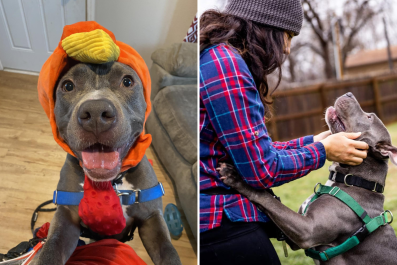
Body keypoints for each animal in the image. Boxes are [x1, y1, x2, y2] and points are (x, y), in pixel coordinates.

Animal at [31, 60, 182, 262]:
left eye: (127, 81)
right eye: (68, 86)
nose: (95, 112)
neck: (112, 182)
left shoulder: (151, 218)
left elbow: (168, 250)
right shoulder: (66, 216)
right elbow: (51, 247)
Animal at [218, 92, 396, 262]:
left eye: (369, 117)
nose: (349, 93)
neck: (353, 181)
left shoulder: (307, 230)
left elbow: (268, 201)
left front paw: (235, 177)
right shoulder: (294, 238)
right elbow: (272, 203)